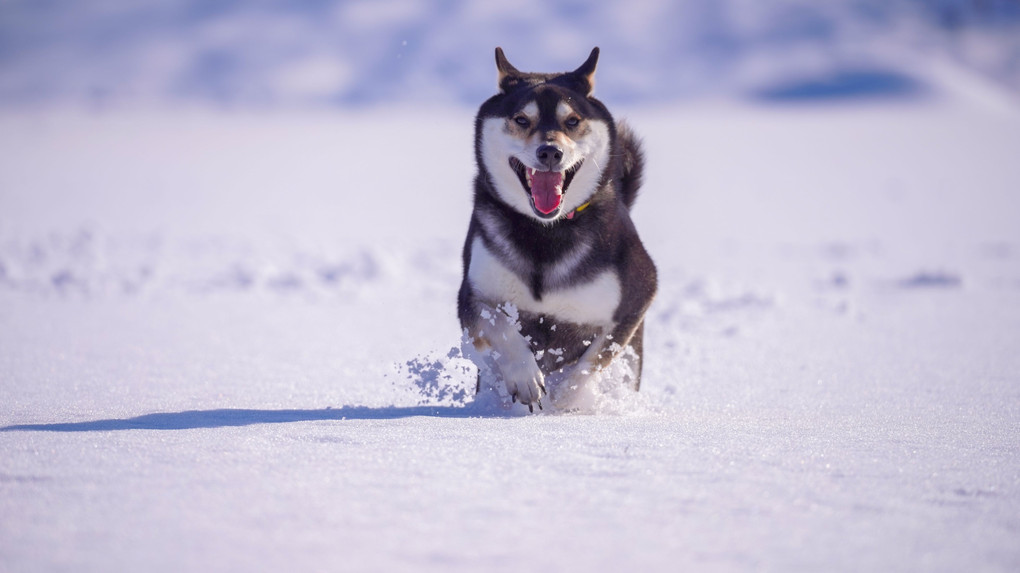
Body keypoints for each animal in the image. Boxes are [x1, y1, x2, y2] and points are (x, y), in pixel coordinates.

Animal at [459, 46, 656, 407]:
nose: (550, 151)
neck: (545, 231)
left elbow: (592, 362)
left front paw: (566, 400)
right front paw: (524, 377)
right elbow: (498, 327)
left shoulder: (638, 294)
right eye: (522, 120)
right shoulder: (474, 296)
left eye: (573, 121)